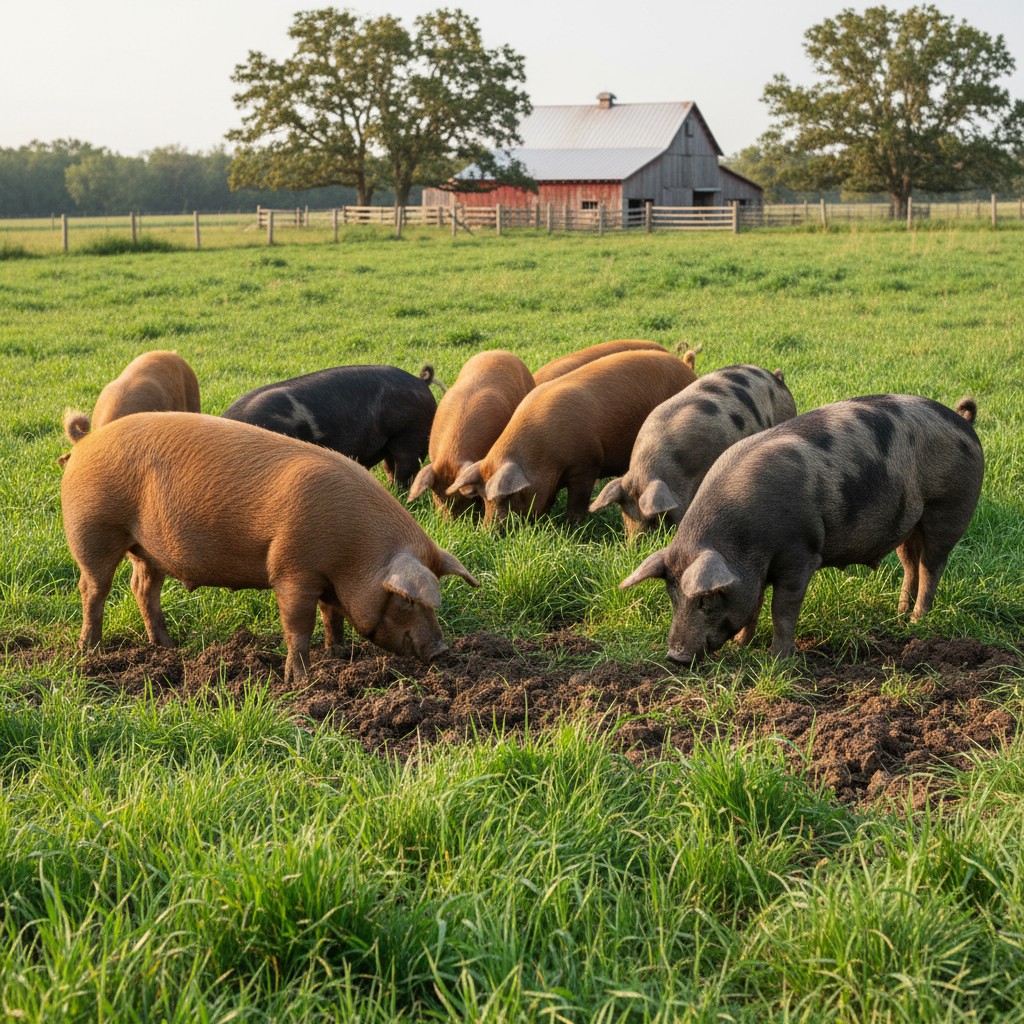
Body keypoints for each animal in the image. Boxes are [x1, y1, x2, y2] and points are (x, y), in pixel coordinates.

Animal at [60, 412, 478, 683]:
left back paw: (166, 647)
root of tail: (85, 442)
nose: (441, 650)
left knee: (142, 588)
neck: (356, 552)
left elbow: (332, 617)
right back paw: (90, 652)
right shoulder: (293, 568)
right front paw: (300, 680)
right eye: (407, 599)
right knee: (93, 589)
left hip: (147, 549)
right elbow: (299, 625)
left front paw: (338, 655)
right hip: (93, 530)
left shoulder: (328, 581)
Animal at [448, 349, 699, 528]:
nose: (489, 532)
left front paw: (571, 529)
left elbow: (577, 504)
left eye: (507, 497)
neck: (542, 455)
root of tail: (688, 372)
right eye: (482, 497)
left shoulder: (587, 464)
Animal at [620, 394, 983, 665]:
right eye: (672, 595)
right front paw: (741, 645)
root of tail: (963, 422)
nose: (676, 657)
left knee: (932, 565)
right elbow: (753, 605)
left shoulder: (801, 552)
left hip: (948, 508)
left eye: (706, 599)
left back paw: (918, 621)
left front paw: (778, 660)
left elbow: (781, 610)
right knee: (911, 564)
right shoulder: (752, 572)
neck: (744, 543)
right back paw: (899, 614)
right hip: (910, 525)